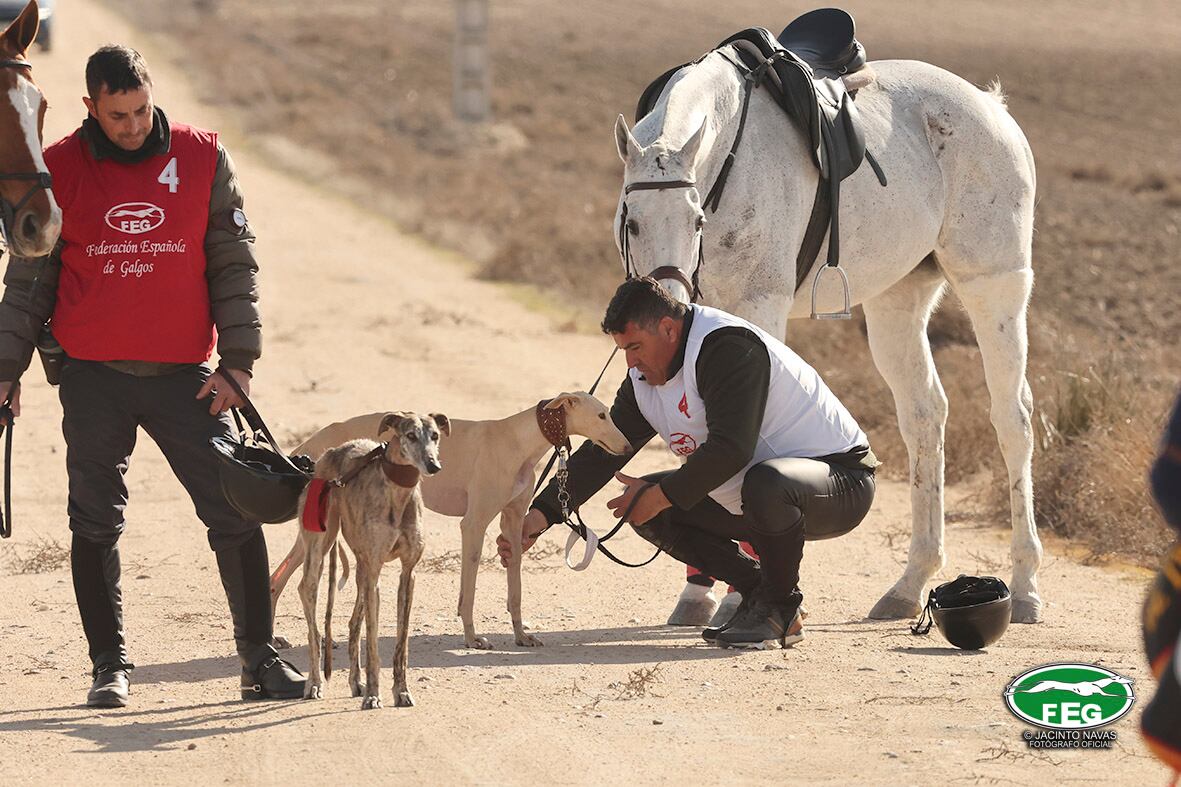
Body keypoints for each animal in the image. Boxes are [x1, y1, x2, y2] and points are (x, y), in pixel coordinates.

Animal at [618, 51, 1044, 623]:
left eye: (697, 220)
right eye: (633, 221)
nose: (666, 300)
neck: (728, 157)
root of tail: (991, 107)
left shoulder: (759, 311)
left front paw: (735, 596)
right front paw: (697, 593)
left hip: (994, 289)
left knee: (1012, 420)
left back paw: (1023, 585)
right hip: (898, 301)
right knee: (925, 416)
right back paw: (911, 582)